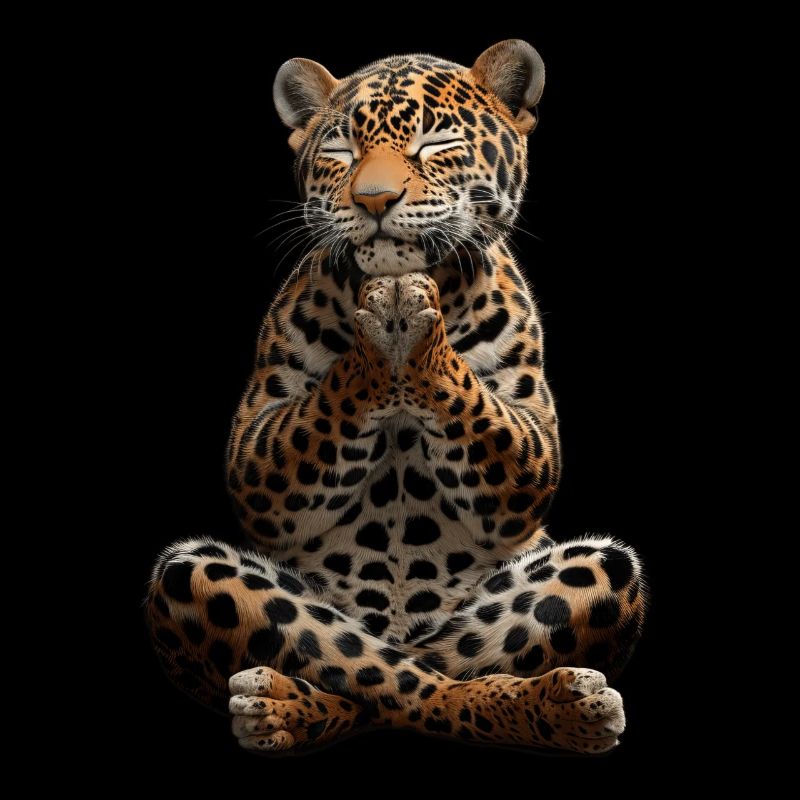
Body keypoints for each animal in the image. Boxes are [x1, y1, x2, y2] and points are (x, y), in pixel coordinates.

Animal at [146, 39, 647, 756]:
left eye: (436, 142)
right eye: (340, 148)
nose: (374, 200)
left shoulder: (531, 445)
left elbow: (487, 421)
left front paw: (411, 314)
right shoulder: (254, 449)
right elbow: (310, 415)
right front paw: (383, 311)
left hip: (604, 567)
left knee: (435, 667)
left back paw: (561, 706)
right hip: (191, 569)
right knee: (373, 667)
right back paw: (277, 706)